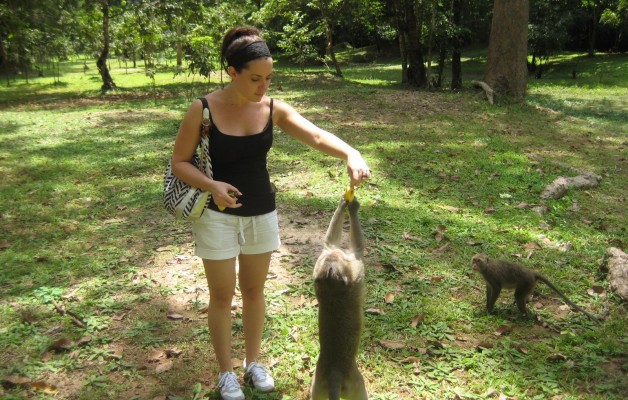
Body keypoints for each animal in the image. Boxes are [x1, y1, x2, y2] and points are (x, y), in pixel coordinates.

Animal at [310, 195, 368, 400]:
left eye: (331, 264)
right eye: (337, 263)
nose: (335, 254)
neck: (333, 294)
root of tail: (334, 373)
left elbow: (329, 241)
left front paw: (344, 202)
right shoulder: (356, 267)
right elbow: (358, 246)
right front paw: (353, 207)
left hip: (317, 386)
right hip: (356, 385)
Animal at [472, 253, 600, 324]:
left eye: (478, 261)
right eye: (474, 260)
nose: (473, 265)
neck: (486, 267)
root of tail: (532, 272)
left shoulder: (492, 274)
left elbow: (497, 288)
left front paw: (490, 309)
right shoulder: (487, 278)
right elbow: (489, 289)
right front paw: (487, 306)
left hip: (527, 282)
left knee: (518, 296)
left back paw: (524, 316)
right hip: (529, 284)